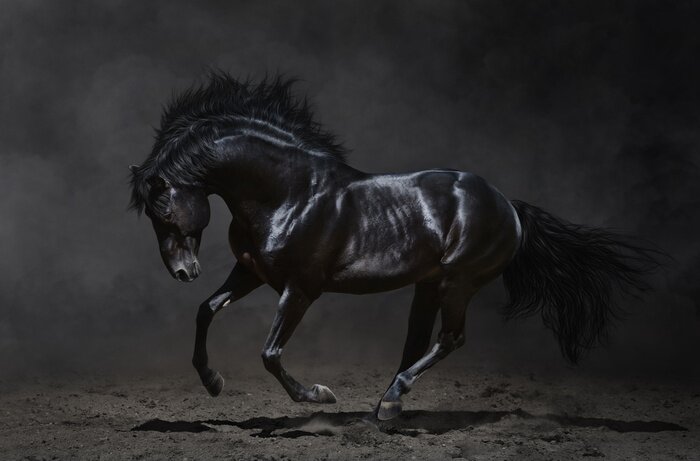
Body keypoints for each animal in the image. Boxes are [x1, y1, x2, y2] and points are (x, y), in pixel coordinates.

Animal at [129, 72, 659, 420]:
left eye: (163, 210)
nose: (183, 272)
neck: (289, 193)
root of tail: (508, 205)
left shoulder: (300, 289)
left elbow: (271, 353)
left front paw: (319, 395)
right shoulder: (252, 273)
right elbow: (206, 310)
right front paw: (212, 382)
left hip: (459, 281)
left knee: (450, 339)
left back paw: (389, 402)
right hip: (429, 285)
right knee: (417, 343)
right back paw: (384, 407)